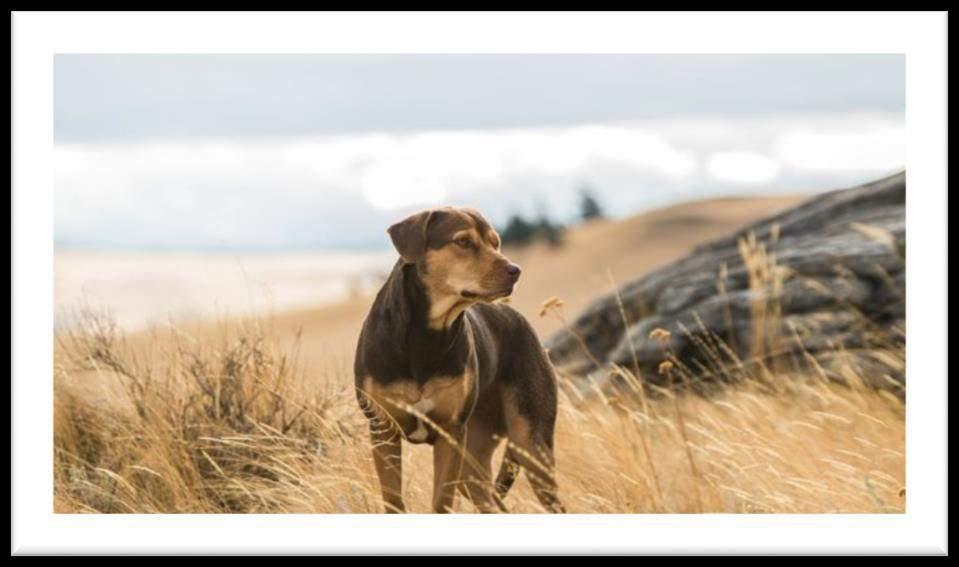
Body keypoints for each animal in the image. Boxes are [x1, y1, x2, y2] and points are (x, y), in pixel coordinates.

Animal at [352, 205, 564, 516]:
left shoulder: (450, 432)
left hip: (530, 443)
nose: (516, 270)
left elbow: (441, 501)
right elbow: (393, 500)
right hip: (473, 464)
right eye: (463, 242)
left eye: (496, 242)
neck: (426, 335)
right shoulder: (383, 428)